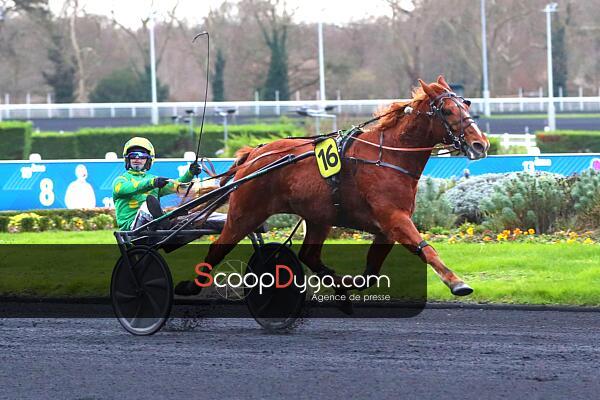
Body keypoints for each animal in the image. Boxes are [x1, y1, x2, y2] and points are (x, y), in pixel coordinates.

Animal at [175, 76, 489, 303]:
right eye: (447, 110)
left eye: (467, 105)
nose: (481, 144)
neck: (389, 155)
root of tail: (254, 154)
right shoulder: (394, 219)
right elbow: (426, 249)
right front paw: (457, 283)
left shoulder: (386, 228)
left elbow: (371, 272)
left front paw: (346, 284)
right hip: (246, 212)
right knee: (218, 246)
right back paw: (191, 286)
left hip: (318, 217)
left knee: (309, 255)